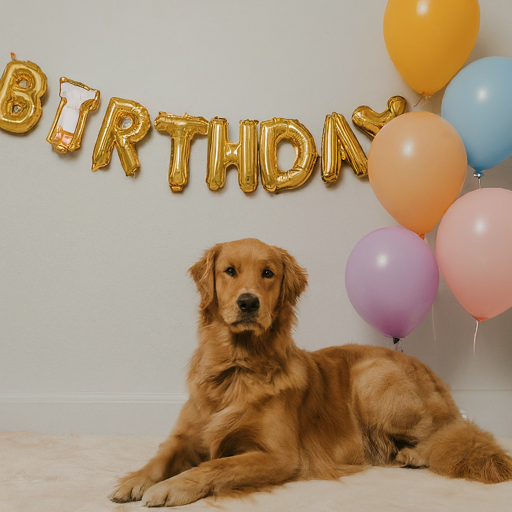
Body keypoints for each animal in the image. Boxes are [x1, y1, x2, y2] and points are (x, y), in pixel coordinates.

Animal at [111, 238, 512, 506]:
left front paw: (171, 486)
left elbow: (216, 467)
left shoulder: (278, 455)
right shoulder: (186, 435)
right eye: (229, 271)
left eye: (268, 273)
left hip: (372, 378)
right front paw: (134, 480)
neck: (238, 367)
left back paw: (413, 455)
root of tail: (429, 370)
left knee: (450, 433)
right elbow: (161, 457)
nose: (248, 302)